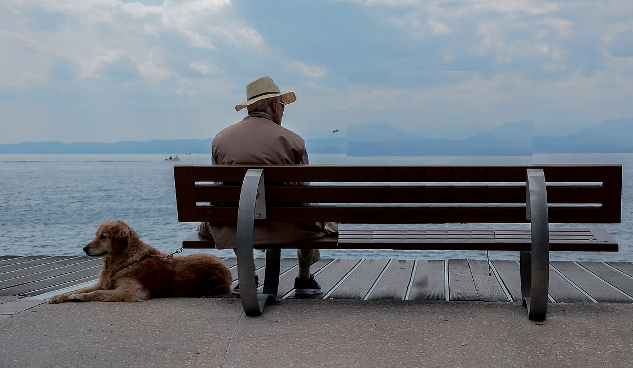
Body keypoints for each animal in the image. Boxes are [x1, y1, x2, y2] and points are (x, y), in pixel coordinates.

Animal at [48, 220, 232, 304]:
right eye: (96, 235)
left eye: (103, 236)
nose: (84, 248)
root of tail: (227, 270)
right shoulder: (104, 282)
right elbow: (83, 288)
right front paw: (60, 296)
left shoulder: (131, 291)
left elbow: (96, 293)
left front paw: (80, 296)